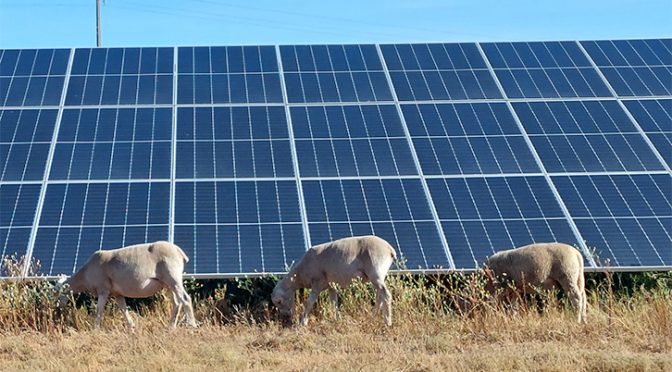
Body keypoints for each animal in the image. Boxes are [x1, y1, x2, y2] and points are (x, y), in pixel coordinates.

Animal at [56, 241, 196, 328]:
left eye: (59, 293)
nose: (58, 308)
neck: (84, 276)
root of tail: (180, 252)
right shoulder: (117, 293)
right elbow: (123, 309)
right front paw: (131, 326)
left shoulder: (103, 289)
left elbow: (99, 310)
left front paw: (95, 328)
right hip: (167, 283)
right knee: (177, 302)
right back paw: (171, 326)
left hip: (172, 276)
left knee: (185, 299)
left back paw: (192, 325)